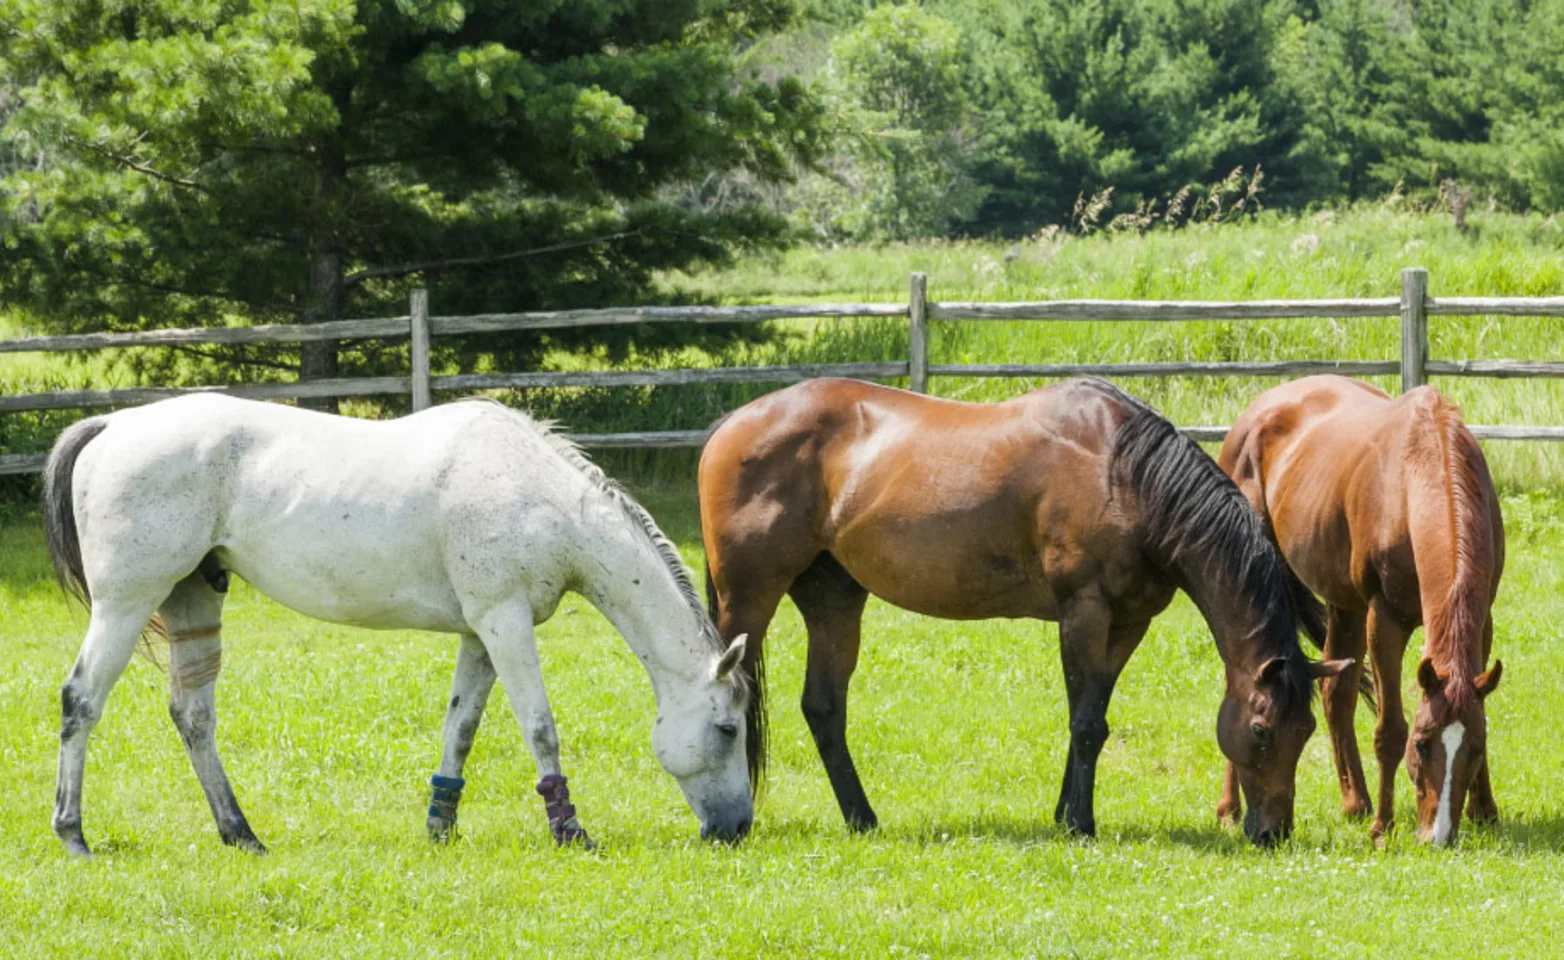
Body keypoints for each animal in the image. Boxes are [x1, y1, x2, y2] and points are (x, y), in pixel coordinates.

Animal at [41, 394, 754, 857]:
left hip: (192, 598)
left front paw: (441, 826)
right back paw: (74, 835)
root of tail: (113, 425)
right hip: (127, 603)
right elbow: (540, 728)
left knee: (193, 717)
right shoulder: (506, 623)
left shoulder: (481, 634)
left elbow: (461, 728)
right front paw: (570, 831)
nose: (736, 829)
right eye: (727, 728)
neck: (545, 501)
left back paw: (240, 833)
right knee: (80, 701)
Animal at [697, 377, 1349, 845]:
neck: (1126, 476)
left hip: (833, 600)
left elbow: (1093, 719)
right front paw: (1080, 824)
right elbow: (1085, 723)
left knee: (825, 708)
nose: (1272, 833)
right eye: (1261, 731)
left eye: (1306, 730)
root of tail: (730, 426)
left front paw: (1065, 813)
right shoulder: (1084, 612)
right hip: (748, 599)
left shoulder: (1127, 624)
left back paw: (863, 819)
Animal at [1217, 375, 1503, 846]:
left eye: (1475, 747)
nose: (1438, 836)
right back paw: (1229, 809)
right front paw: (1383, 828)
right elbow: (1390, 730)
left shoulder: (1482, 623)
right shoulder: (1383, 619)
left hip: (1343, 604)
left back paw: (1355, 801)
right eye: (1423, 743)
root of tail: (1255, 412)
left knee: (1337, 693)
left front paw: (1485, 811)